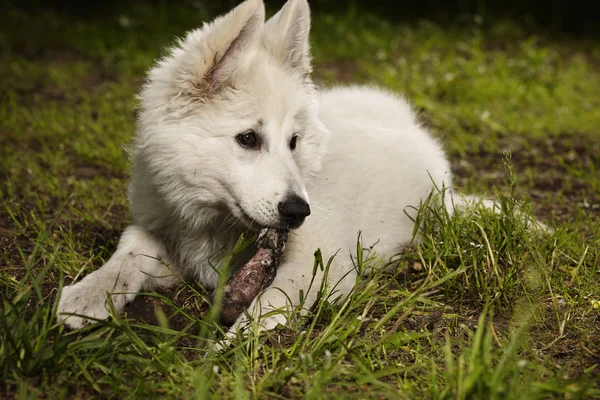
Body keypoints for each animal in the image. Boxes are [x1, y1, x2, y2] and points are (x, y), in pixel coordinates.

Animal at [57, 0, 464, 332]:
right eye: (249, 138)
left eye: (293, 142)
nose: (299, 212)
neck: (216, 221)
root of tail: (412, 124)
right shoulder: (168, 235)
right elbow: (131, 248)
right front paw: (88, 294)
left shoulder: (323, 261)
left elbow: (273, 301)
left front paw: (233, 346)